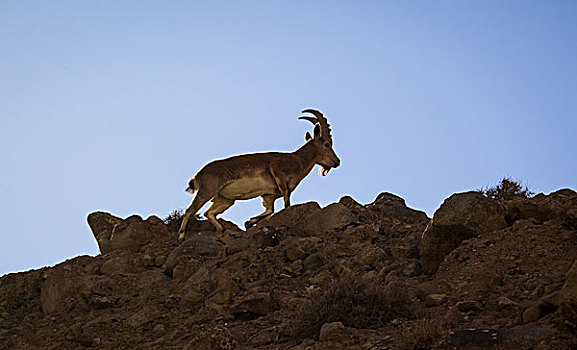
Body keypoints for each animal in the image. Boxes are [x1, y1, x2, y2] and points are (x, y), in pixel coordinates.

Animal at [178, 108, 340, 241]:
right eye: (327, 144)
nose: (337, 162)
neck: (298, 160)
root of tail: (198, 175)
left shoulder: (268, 195)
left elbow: (270, 210)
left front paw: (249, 222)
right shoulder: (278, 173)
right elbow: (286, 204)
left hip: (225, 199)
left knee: (209, 213)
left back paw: (222, 230)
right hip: (207, 191)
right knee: (190, 210)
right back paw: (181, 236)